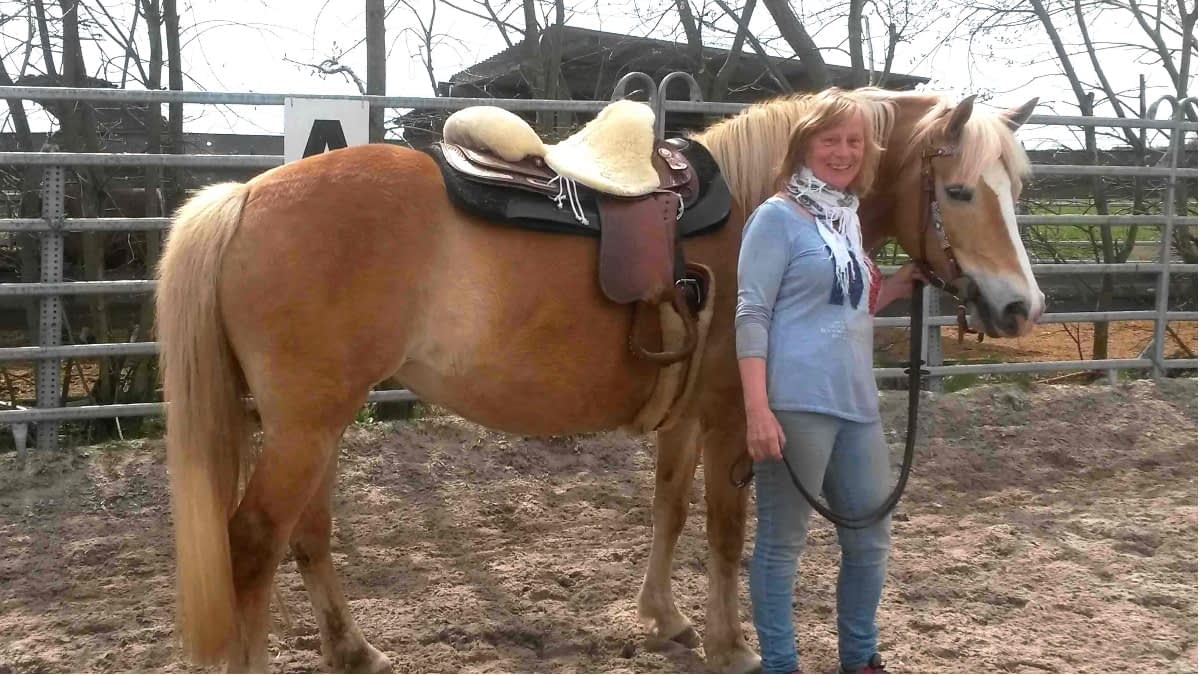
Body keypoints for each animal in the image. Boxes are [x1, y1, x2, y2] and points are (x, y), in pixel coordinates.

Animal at [156, 89, 1041, 673]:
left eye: (1017, 187)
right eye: (959, 188)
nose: (1019, 305)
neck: (757, 204)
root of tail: (245, 197)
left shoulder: (684, 413)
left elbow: (669, 506)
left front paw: (667, 618)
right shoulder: (731, 412)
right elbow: (725, 528)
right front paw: (729, 640)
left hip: (316, 420)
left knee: (307, 532)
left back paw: (353, 647)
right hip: (306, 425)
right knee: (254, 540)